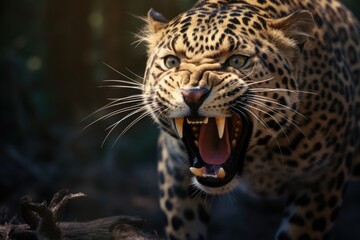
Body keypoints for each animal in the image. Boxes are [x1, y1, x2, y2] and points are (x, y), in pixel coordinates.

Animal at [138, 0, 360, 239]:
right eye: (171, 61)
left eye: (237, 60)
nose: (193, 94)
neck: (259, 159)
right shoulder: (174, 168)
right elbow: (184, 226)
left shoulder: (325, 175)